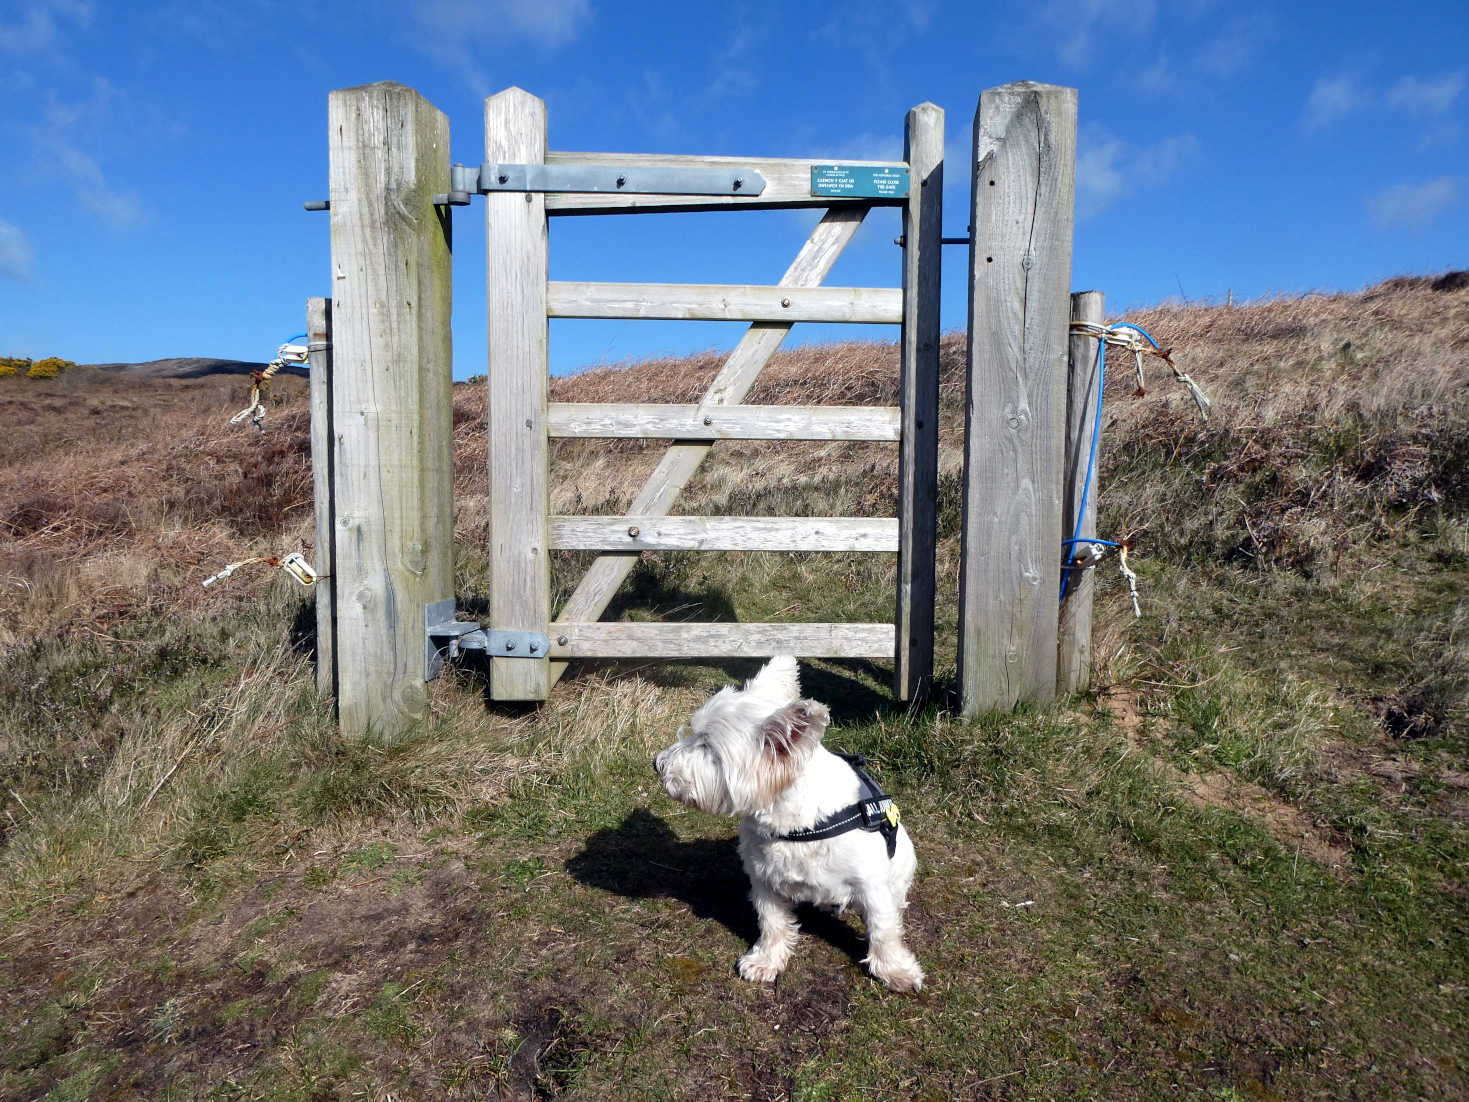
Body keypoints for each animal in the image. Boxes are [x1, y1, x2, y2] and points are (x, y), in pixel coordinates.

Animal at [658, 655, 922, 993]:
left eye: (707, 747)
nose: (658, 764)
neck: (795, 824)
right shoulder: (764, 879)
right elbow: (772, 923)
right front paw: (765, 961)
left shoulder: (872, 884)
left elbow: (883, 929)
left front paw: (895, 970)